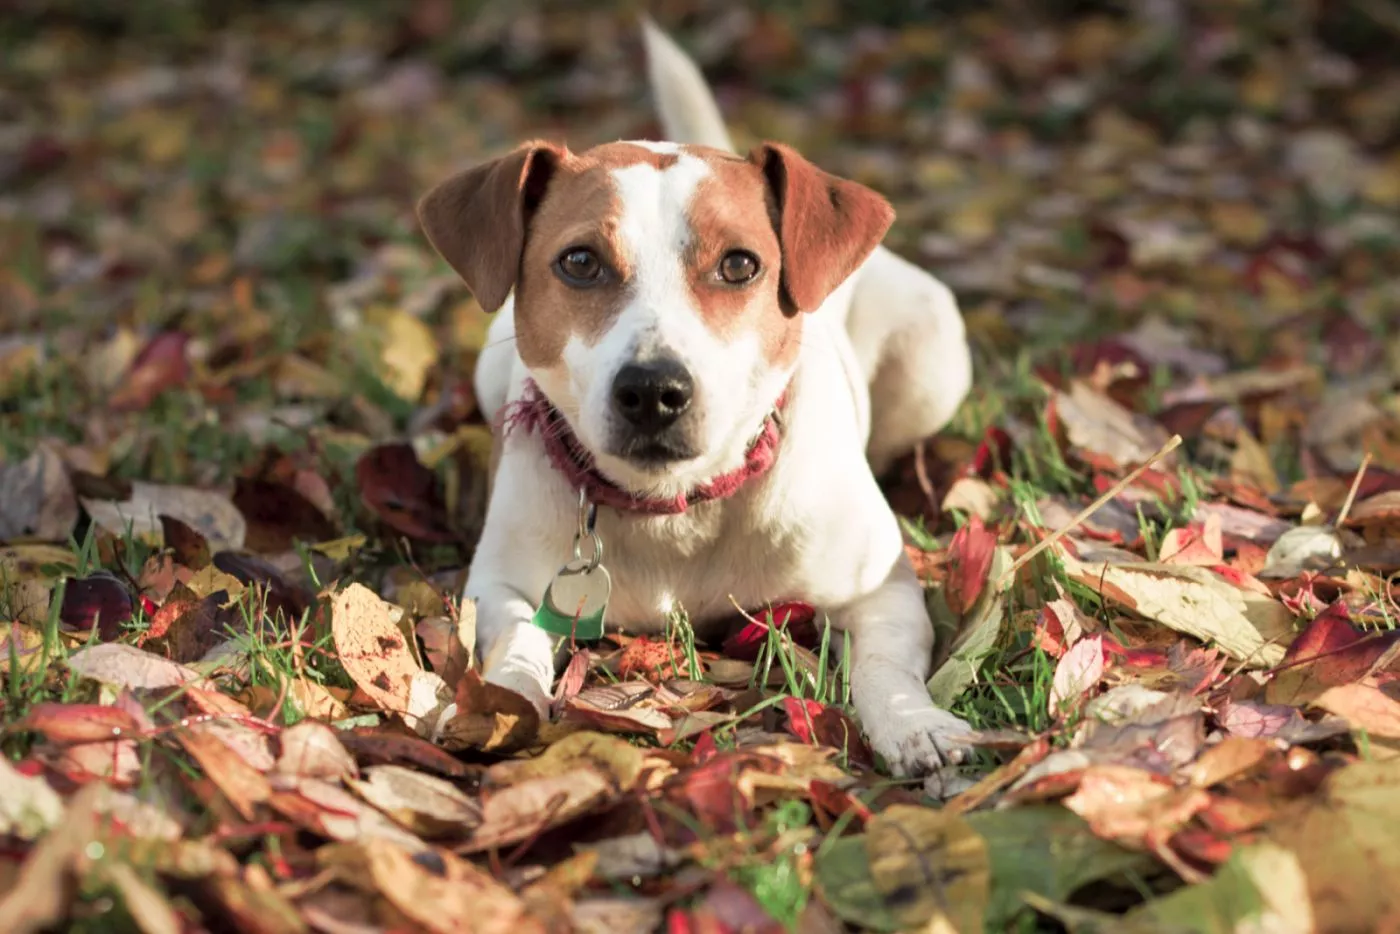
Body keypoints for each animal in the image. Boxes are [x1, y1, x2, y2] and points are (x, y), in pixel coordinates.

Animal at [417, 20, 974, 784]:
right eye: (580, 262)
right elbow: (515, 645)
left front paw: (914, 723)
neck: (676, 507)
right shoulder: (501, 587)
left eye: (739, 264)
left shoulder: (881, 589)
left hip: (933, 355)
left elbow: (886, 665)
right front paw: (500, 703)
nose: (654, 391)